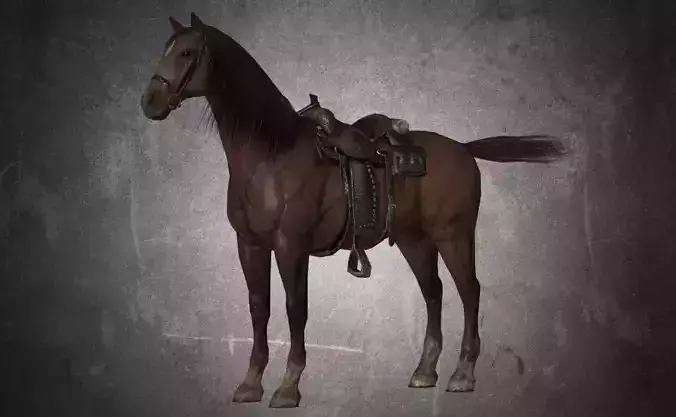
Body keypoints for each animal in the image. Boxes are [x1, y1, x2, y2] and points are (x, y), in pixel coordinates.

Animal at [140, 13, 566, 408]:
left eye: (186, 53)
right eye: (166, 48)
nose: (149, 102)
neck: (271, 155)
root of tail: (463, 148)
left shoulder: (291, 247)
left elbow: (296, 310)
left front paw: (288, 387)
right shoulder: (250, 245)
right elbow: (259, 308)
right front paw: (250, 384)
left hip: (454, 235)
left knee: (469, 291)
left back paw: (463, 374)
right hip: (415, 241)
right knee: (434, 292)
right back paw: (425, 371)